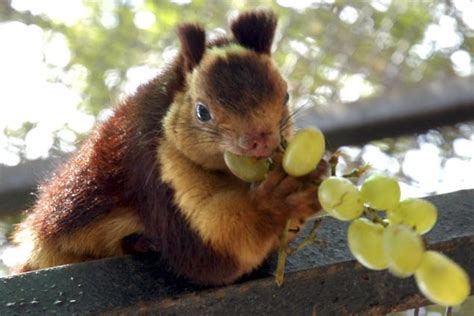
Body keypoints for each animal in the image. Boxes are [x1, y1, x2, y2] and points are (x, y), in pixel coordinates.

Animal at [12, 10, 328, 286]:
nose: (261, 141)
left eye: (286, 96)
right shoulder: (153, 167)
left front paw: (316, 176)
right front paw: (275, 200)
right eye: (202, 112)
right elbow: (209, 254)